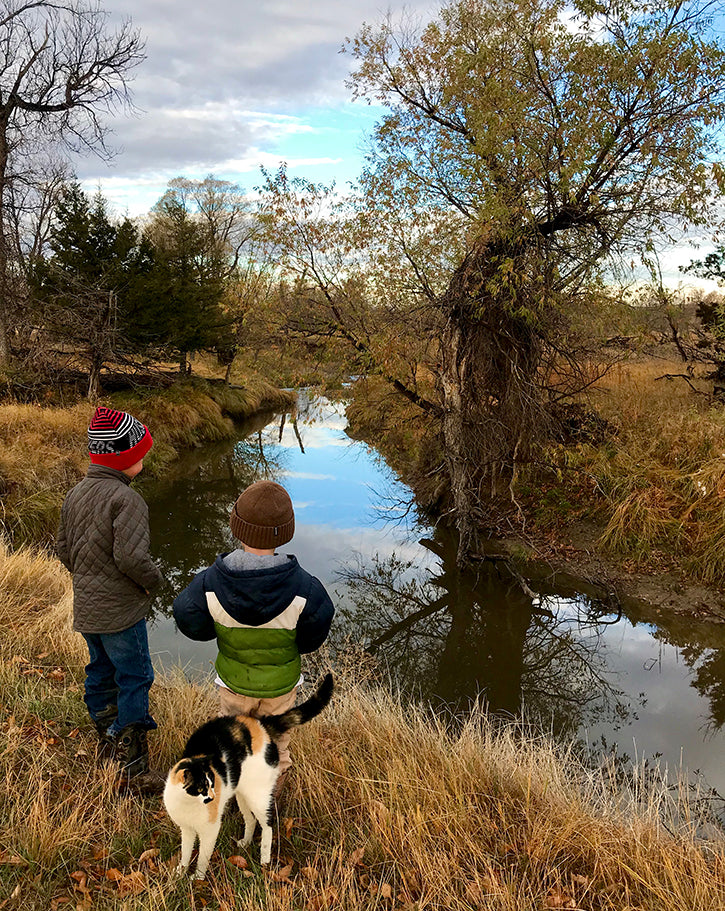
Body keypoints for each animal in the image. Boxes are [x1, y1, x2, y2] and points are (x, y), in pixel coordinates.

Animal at [163, 672, 332, 880]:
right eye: (202, 787)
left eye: (212, 784)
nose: (212, 797)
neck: (188, 804)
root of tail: (262, 724)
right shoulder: (186, 830)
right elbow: (185, 853)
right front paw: (179, 872)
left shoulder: (210, 830)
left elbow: (203, 856)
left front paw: (198, 879)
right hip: (242, 794)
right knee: (250, 820)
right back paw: (245, 843)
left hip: (258, 797)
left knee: (267, 825)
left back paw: (265, 860)